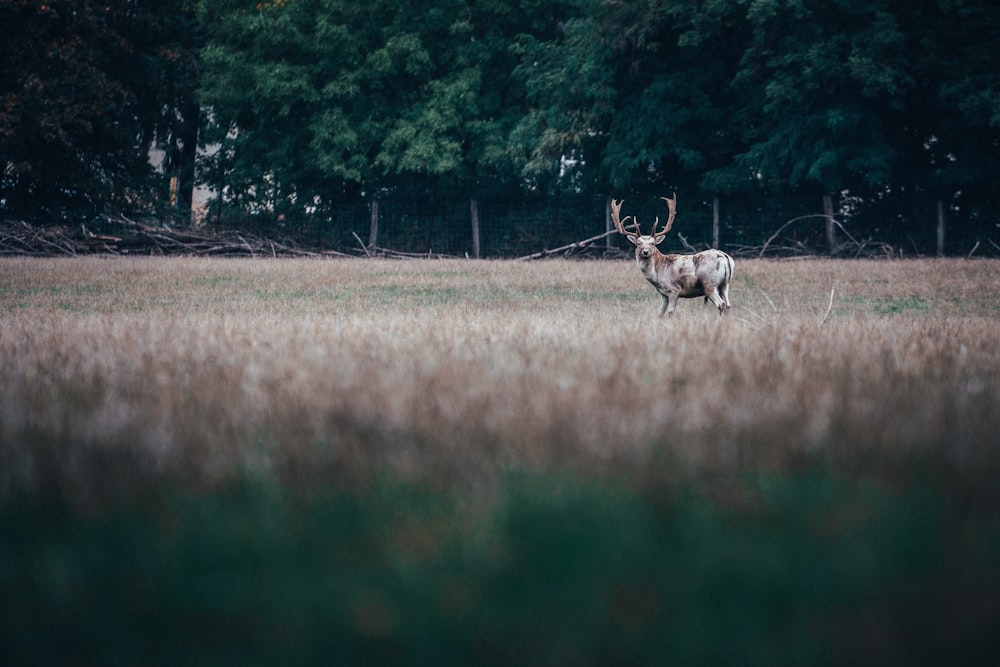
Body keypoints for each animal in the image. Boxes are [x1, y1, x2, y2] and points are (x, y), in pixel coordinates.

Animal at [608, 193, 736, 318]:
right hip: (725, 284)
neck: (657, 274)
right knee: (728, 305)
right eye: (638, 243)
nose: (645, 251)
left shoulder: (674, 289)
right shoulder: (663, 293)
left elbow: (670, 312)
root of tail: (725, 258)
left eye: (653, 243)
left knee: (721, 304)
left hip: (709, 284)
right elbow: (659, 313)